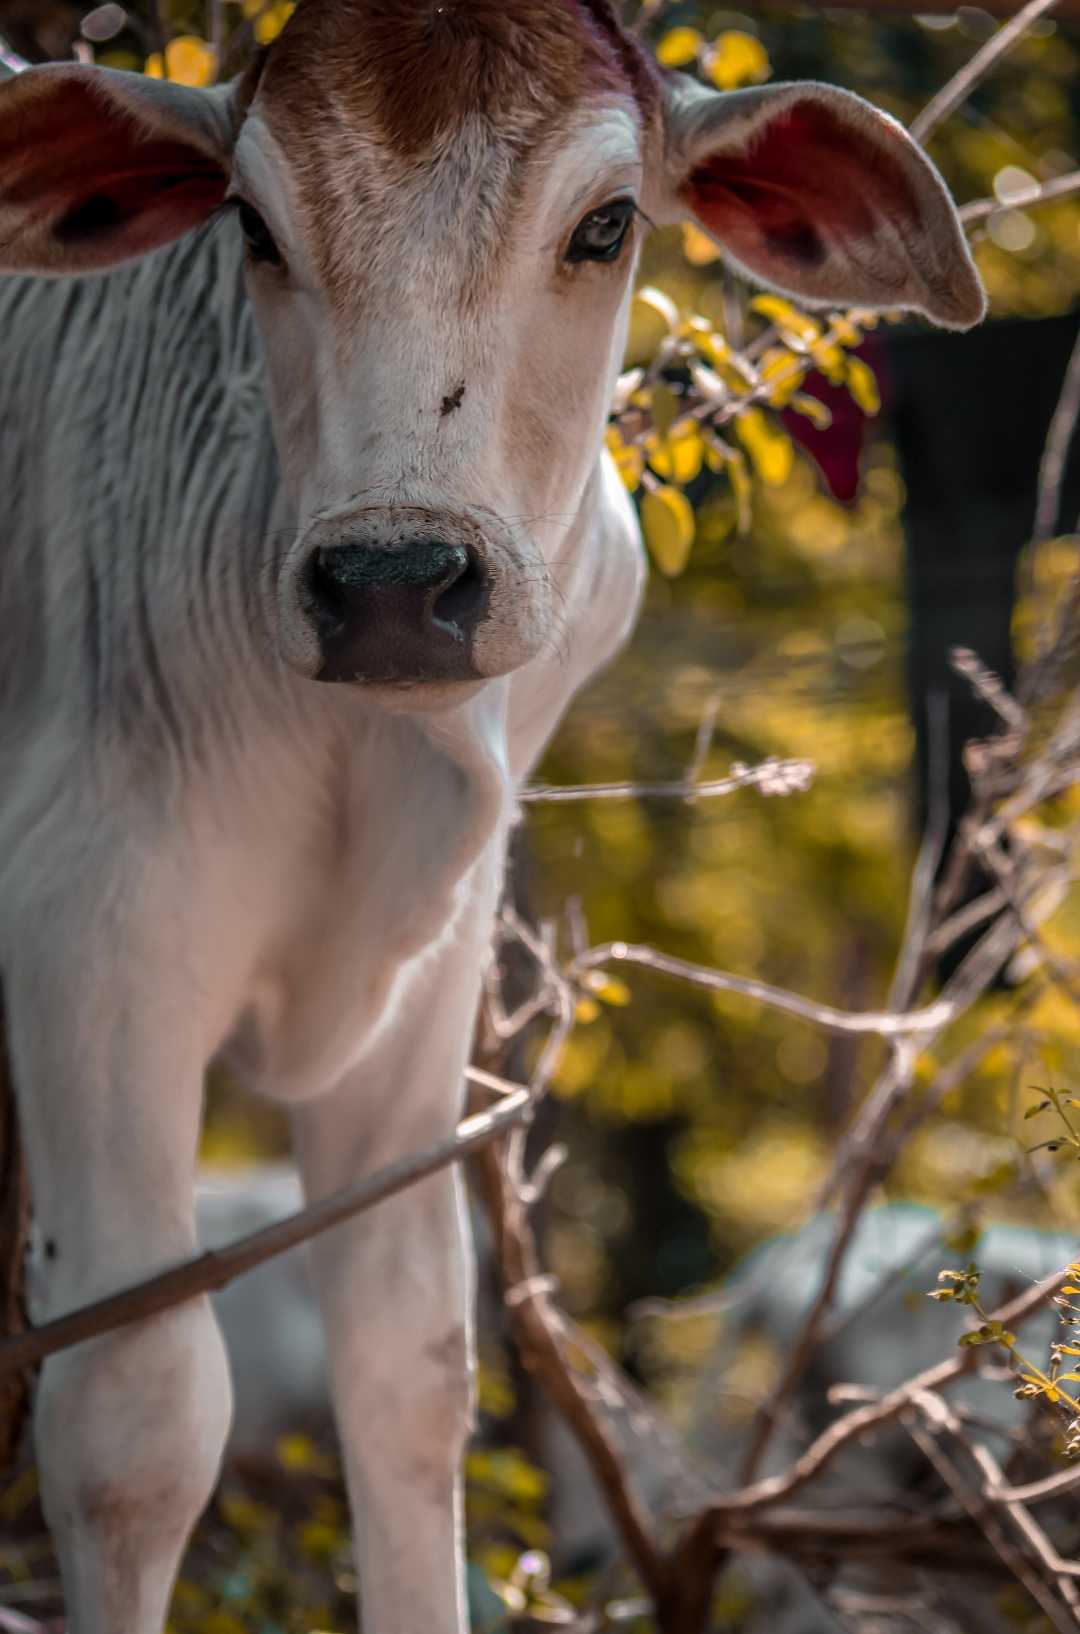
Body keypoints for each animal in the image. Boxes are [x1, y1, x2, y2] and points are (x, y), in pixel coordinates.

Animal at [0, 5, 983, 1630]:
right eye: (250, 225)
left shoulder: (417, 1003)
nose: (395, 585)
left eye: (606, 223)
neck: (375, 759)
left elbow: (409, 1376)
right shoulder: (92, 947)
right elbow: (137, 1426)